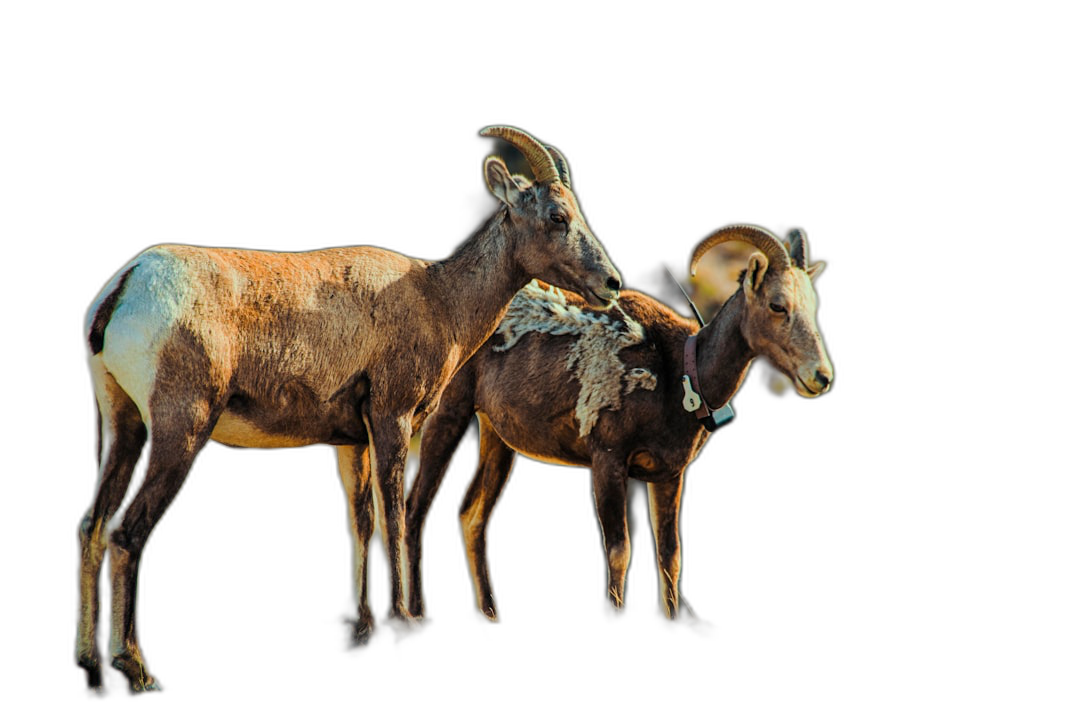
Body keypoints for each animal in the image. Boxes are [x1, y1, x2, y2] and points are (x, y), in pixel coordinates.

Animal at [76, 126, 622, 695]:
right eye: (556, 216)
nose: (611, 284)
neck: (439, 299)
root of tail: (125, 287)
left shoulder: (351, 442)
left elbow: (362, 521)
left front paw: (364, 628)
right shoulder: (392, 419)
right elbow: (395, 514)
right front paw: (407, 621)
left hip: (121, 426)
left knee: (91, 525)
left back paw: (91, 666)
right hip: (179, 431)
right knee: (126, 532)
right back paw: (135, 668)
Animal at [401, 226, 829, 626]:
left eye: (813, 307)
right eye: (777, 305)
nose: (821, 376)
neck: (680, 377)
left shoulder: (668, 475)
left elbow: (670, 556)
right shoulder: (608, 461)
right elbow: (619, 550)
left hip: (497, 437)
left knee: (473, 514)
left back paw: (489, 613)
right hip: (450, 413)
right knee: (415, 508)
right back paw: (415, 611)